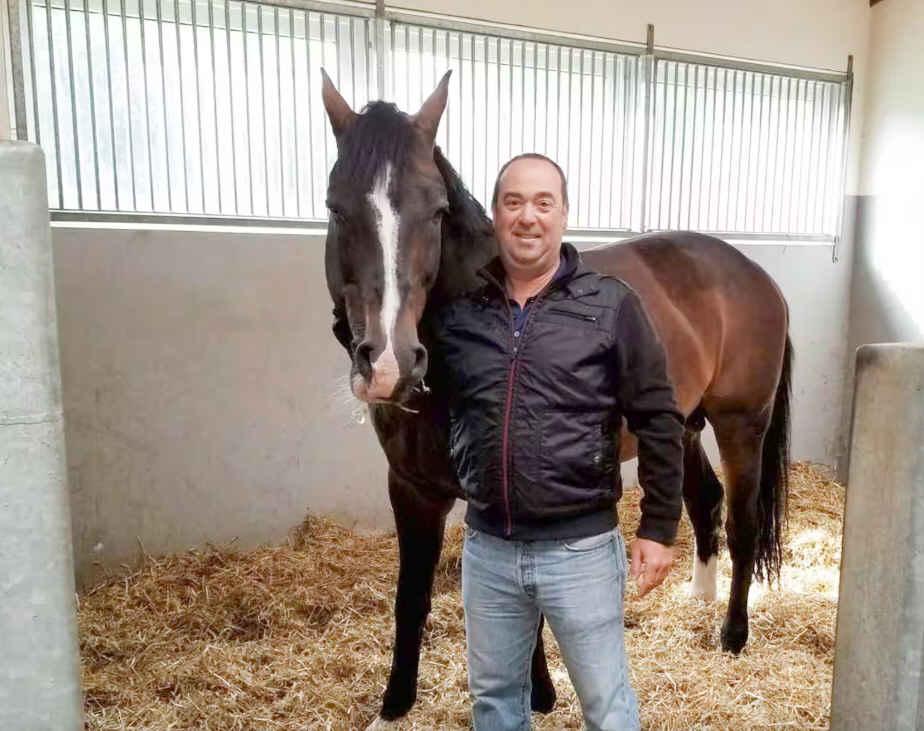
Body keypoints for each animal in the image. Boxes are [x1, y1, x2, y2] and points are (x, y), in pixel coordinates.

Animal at [320, 70, 792, 726]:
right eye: (336, 208)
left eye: (436, 211)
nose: (389, 362)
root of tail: (754, 273)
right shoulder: (411, 489)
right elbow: (411, 598)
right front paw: (394, 706)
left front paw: (539, 695)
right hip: (683, 425)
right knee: (705, 501)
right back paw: (697, 598)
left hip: (741, 424)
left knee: (743, 521)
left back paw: (733, 634)